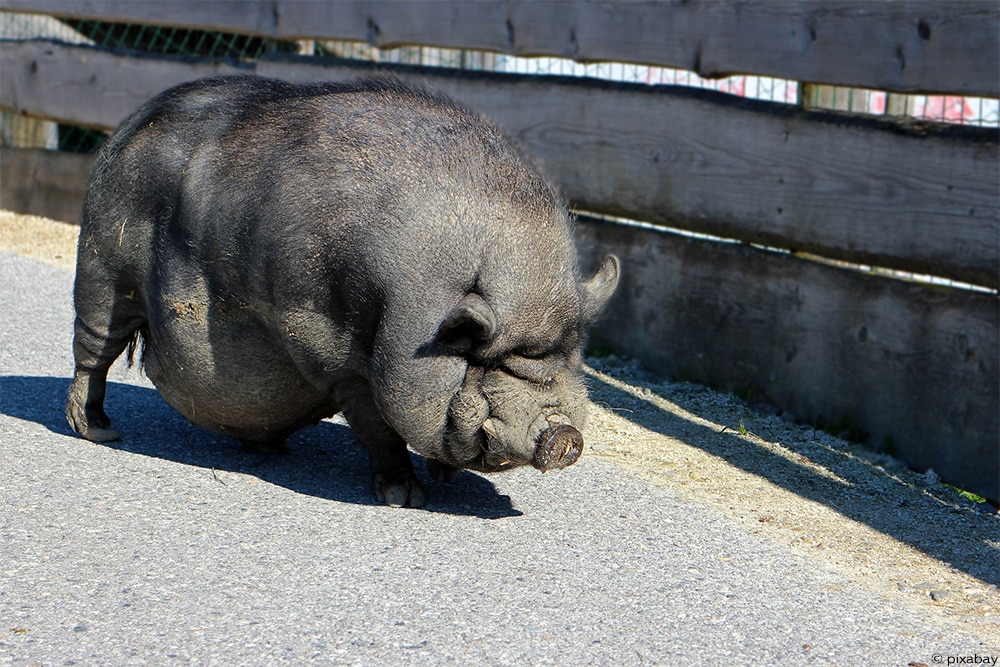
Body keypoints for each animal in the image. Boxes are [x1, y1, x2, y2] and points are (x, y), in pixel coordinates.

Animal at [66, 74, 616, 506]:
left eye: (570, 359)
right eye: (491, 362)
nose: (565, 436)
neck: (410, 307)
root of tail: (132, 123)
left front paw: (445, 479)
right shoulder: (333, 353)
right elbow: (379, 430)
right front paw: (406, 499)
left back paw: (267, 449)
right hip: (101, 265)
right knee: (94, 351)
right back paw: (99, 431)